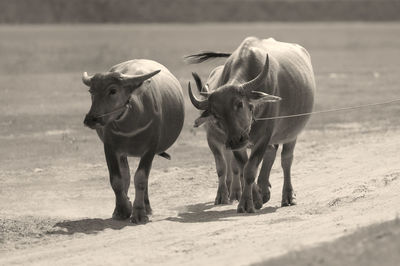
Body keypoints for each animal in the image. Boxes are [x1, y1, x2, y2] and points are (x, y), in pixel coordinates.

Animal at [84, 59, 186, 223]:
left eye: (113, 90)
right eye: (91, 91)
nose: (91, 119)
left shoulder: (150, 149)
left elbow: (141, 178)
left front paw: (139, 213)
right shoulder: (110, 148)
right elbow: (117, 180)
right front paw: (122, 209)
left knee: (143, 177)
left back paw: (147, 207)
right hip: (122, 153)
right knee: (126, 175)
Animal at [187, 37, 316, 212]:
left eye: (239, 103)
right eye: (215, 113)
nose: (235, 140)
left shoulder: (264, 136)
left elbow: (250, 169)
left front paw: (246, 203)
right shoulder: (235, 143)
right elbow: (243, 167)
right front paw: (255, 198)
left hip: (291, 133)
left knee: (286, 160)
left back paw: (288, 196)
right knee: (270, 154)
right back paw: (264, 189)